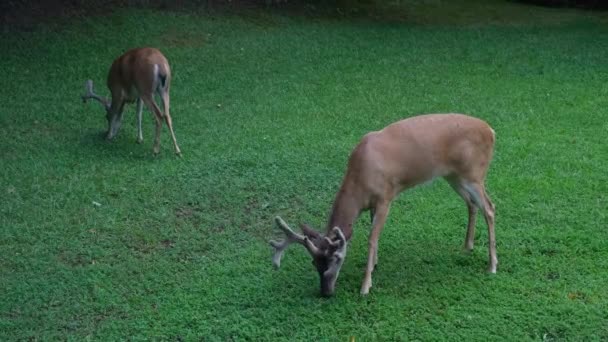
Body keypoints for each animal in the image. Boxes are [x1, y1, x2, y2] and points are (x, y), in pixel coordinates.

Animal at [272, 113, 498, 296]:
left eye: (335, 258)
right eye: (314, 262)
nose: (325, 292)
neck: (360, 181)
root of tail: (491, 131)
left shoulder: (385, 197)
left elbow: (372, 238)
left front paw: (365, 286)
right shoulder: (373, 204)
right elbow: (375, 237)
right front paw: (375, 264)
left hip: (475, 174)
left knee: (489, 208)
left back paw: (492, 265)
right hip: (454, 176)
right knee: (472, 204)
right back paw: (467, 246)